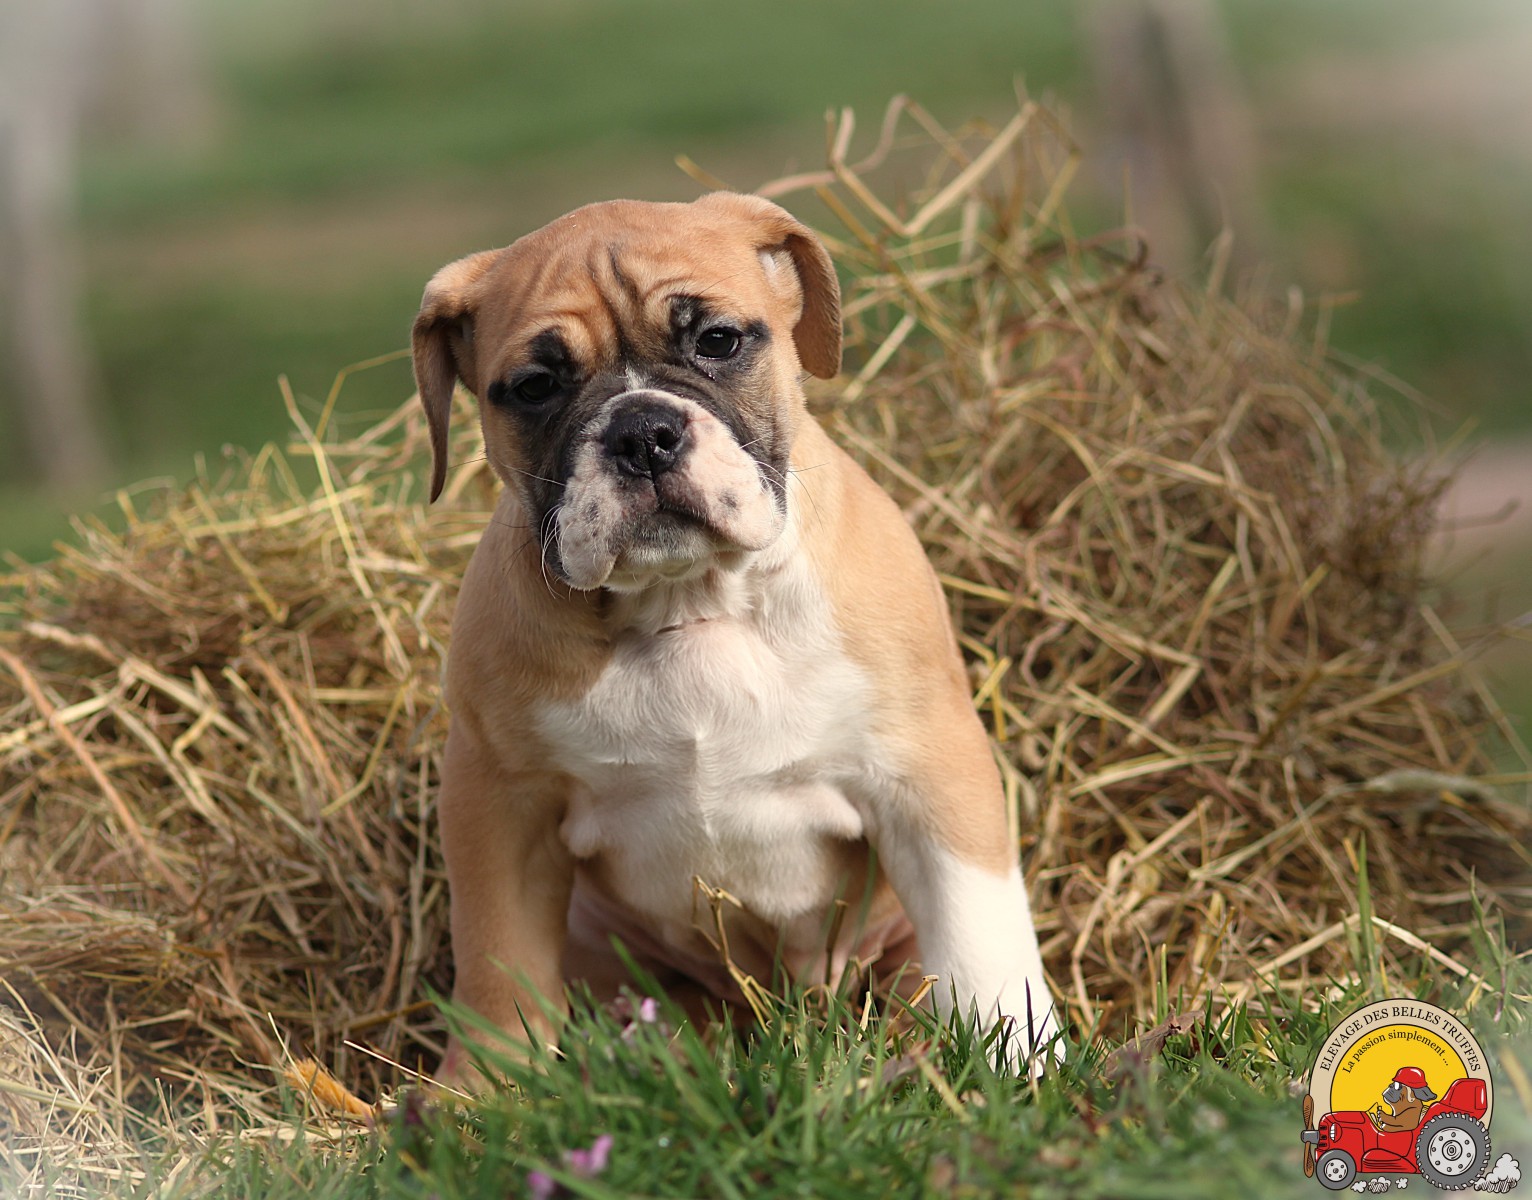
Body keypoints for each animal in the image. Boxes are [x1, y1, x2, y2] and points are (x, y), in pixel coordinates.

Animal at [411, 192, 1059, 1081]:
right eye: (537, 386)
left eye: (717, 341)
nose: (643, 431)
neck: (691, 603)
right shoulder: (500, 807)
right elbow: (496, 966)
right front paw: (485, 1091)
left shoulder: (930, 771)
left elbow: (978, 934)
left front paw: (1022, 1062)